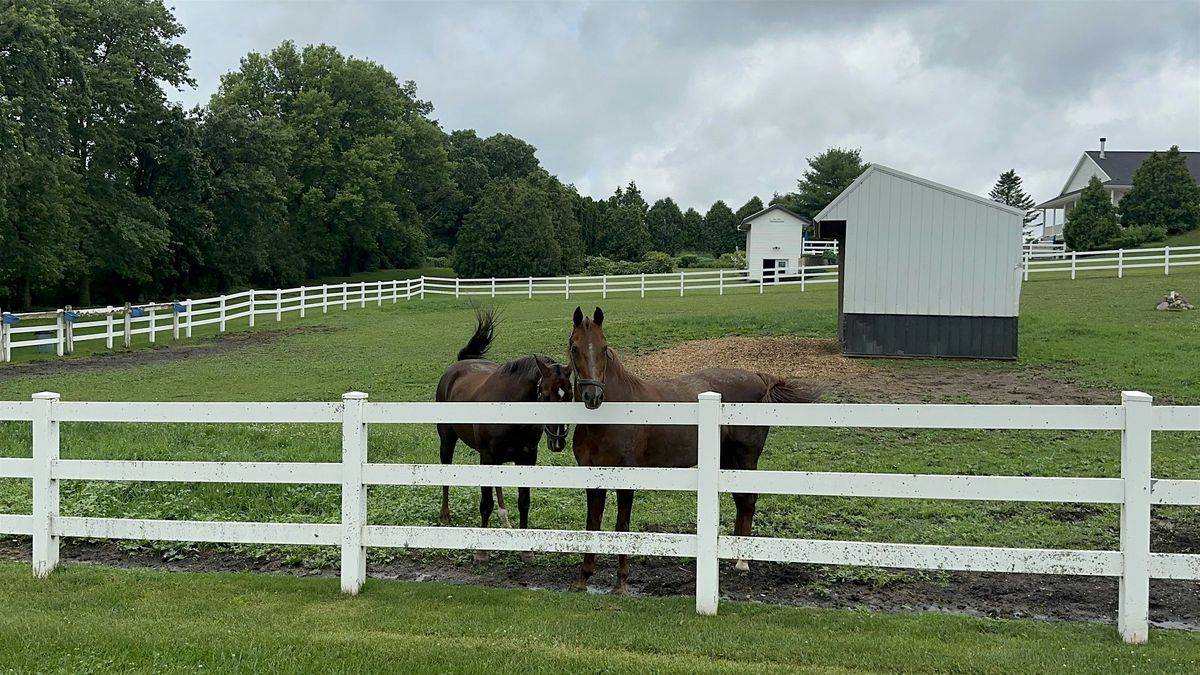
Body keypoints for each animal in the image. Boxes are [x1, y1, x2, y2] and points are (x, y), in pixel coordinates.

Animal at [439, 305, 573, 552]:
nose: (558, 441)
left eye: (570, 395)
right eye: (545, 394)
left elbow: (524, 502)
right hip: (448, 439)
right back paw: (444, 516)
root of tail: (458, 365)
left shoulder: (526, 458)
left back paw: (504, 519)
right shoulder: (486, 457)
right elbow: (485, 503)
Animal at [568, 307, 816, 590]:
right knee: (741, 500)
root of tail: (759, 377)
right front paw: (583, 578)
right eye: (575, 347)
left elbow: (622, 526)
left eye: (604, 347)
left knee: (748, 500)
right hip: (728, 458)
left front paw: (621, 582)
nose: (593, 397)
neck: (613, 416)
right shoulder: (592, 475)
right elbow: (592, 524)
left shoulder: (627, 476)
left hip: (746, 457)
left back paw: (743, 561)